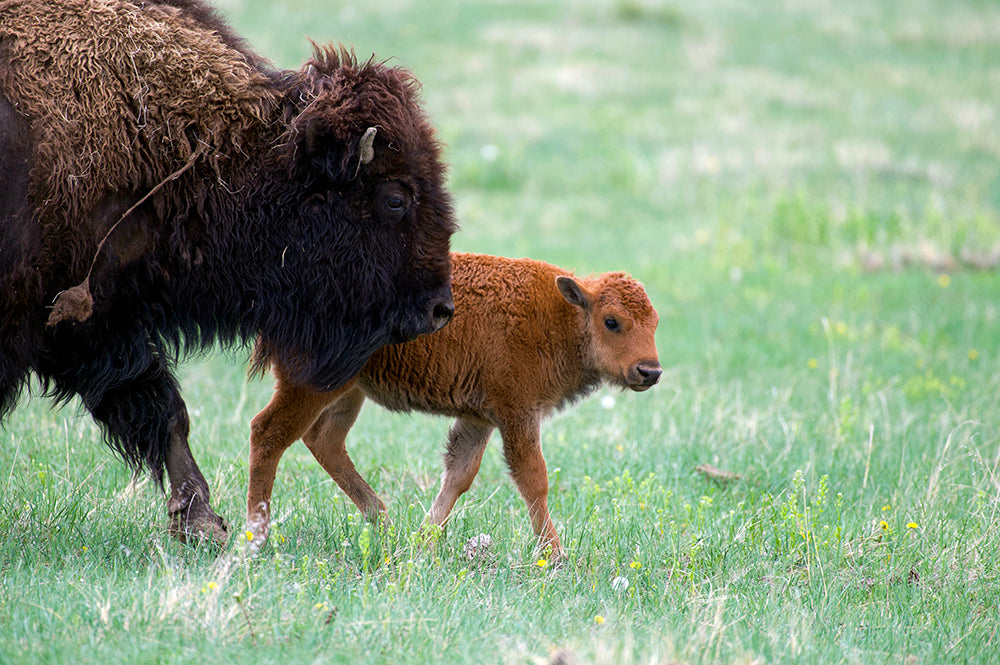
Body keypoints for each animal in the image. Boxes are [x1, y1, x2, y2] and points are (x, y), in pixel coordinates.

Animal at [246, 252, 660, 552]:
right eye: (611, 321)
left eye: (655, 322)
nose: (650, 371)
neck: (564, 316)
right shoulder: (517, 414)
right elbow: (534, 480)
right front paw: (555, 555)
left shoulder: (480, 418)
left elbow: (460, 475)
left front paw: (425, 540)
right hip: (312, 388)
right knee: (268, 434)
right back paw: (256, 538)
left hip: (350, 391)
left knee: (325, 441)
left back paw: (383, 520)